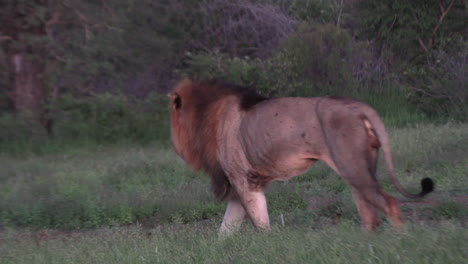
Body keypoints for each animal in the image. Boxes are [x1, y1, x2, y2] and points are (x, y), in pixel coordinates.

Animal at [167, 78, 432, 233]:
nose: (174, 146)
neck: (204, 116)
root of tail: (358, 106)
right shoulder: (241, 182)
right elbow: (227, 228)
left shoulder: (241, 178)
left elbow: (258, 221)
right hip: (357, 168)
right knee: (370, 215)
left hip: (353, 167)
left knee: (389, 203)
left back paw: (400, 241)